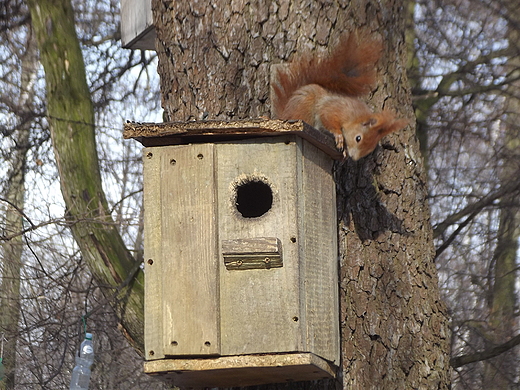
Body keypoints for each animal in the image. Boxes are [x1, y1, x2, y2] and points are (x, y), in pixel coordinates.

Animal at [272, 32, 406, 160]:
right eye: (358, 138)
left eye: (369, 149)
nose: (353, 157)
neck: (354, 116)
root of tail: (285, 113)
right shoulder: (336, 109)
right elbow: (327, 117)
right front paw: (339, 135)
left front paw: (345, 150)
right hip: (305, 107)